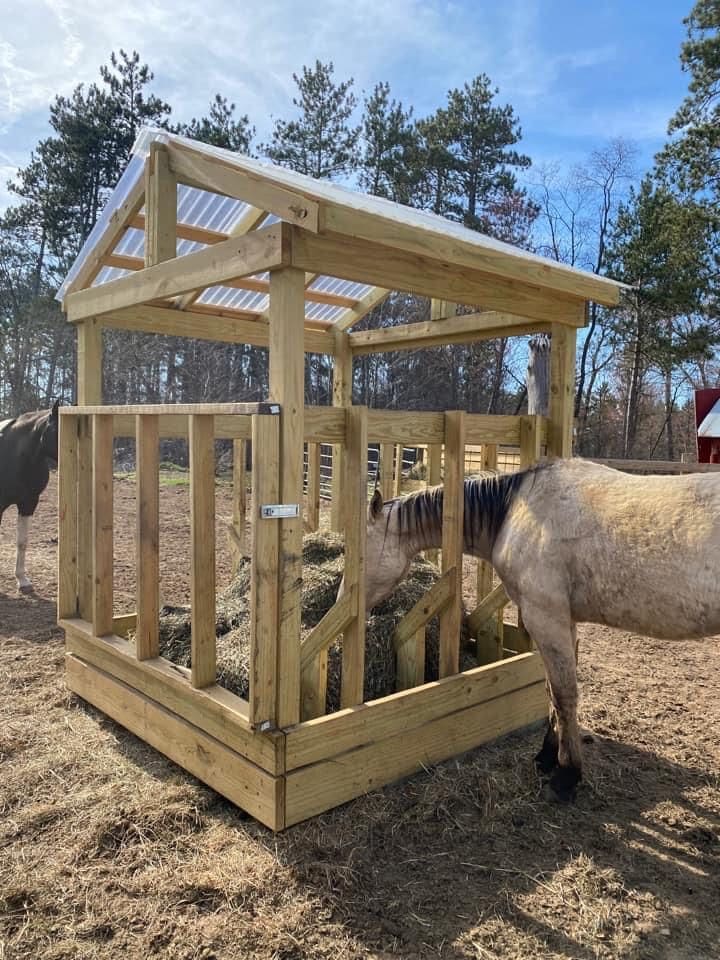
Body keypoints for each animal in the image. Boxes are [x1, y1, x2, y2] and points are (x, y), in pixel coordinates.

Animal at [346, 458, 720, 802]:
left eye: (360, 555)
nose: (344, 601)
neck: (514, 510)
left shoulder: (545, 617)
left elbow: (564, 694)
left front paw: (567, 775)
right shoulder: (563, 621)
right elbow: (551, 690)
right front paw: (547, 756)